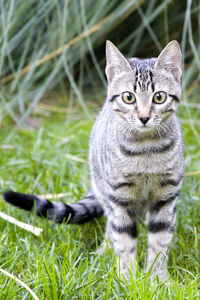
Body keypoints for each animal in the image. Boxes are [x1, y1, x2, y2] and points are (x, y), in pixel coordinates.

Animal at [3, 39, 184, 282]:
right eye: (129, 97)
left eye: (159, 97)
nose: (144, 117)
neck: (146, 150)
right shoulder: (119, 195)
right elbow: (124, 239)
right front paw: (127, 279)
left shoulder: (166, 196)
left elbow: (160, 240)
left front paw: (157, 279)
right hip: (104, 188)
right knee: (112, 224)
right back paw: (105, 249)